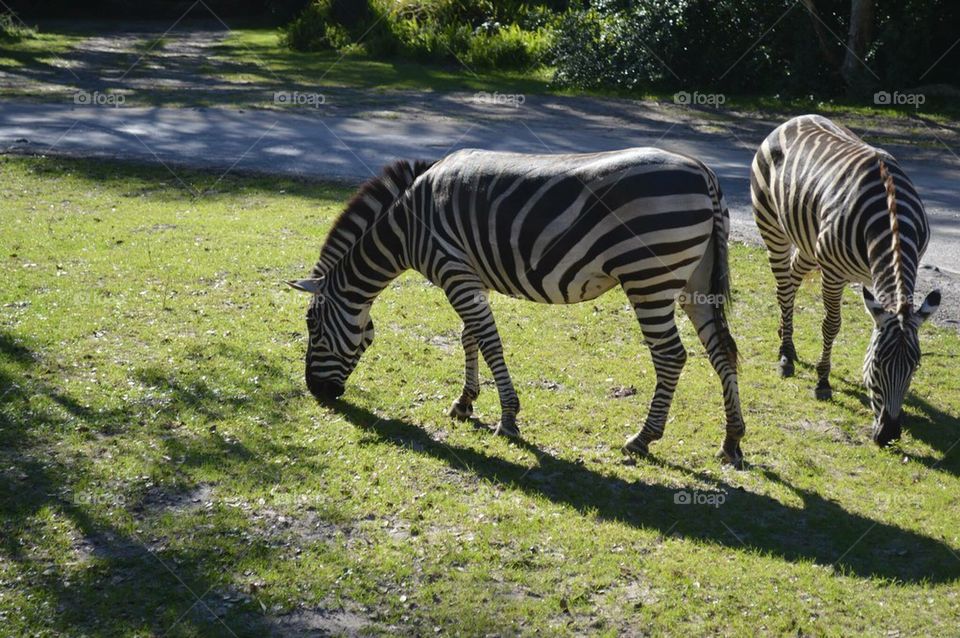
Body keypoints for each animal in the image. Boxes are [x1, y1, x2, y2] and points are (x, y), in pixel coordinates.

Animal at [288, 149, 746, 465]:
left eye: (312, 325)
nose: (316, 391)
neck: (406, 226)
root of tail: (703, 172)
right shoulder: (471, 276)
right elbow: (469, 337)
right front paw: (464, 403)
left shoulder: (454, 270)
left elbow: (489, 342)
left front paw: (507, 419)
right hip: (696, 282)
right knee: (722, 351)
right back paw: (732, 441)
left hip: (648, 277)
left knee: (671, 356)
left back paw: (643, 438)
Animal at [750, 114, 940, 446]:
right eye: (878, 364)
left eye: (915, 365)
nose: (889, 435)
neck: (890, 218)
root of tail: (792, 120)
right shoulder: (833, 272)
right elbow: (831, 325)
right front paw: (823, 382)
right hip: (773, 226)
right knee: (784, 287)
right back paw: (786, 357)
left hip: (809, 244)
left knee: (793, 279)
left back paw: (785, 339)